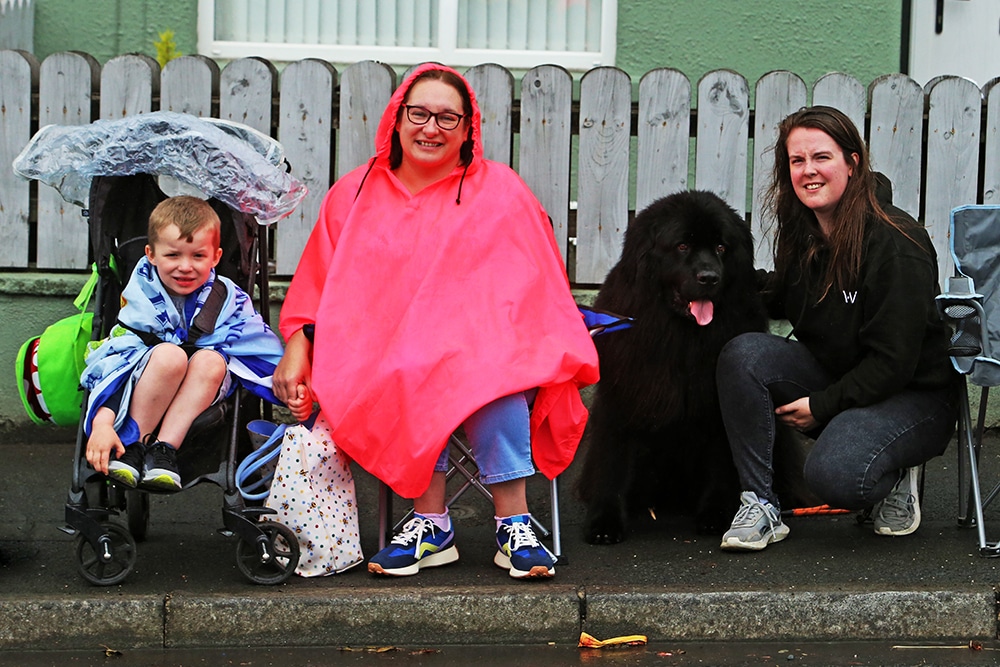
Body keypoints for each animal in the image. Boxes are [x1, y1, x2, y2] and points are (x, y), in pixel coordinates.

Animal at [580, 190, 804, 544]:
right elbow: (611, 460)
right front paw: (604, 522)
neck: (684, 339)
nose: (709, 277)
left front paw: (715, 514)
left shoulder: (718, 405)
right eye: (682, 245)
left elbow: (721, 463)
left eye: (721, 247)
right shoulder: (623, 397)